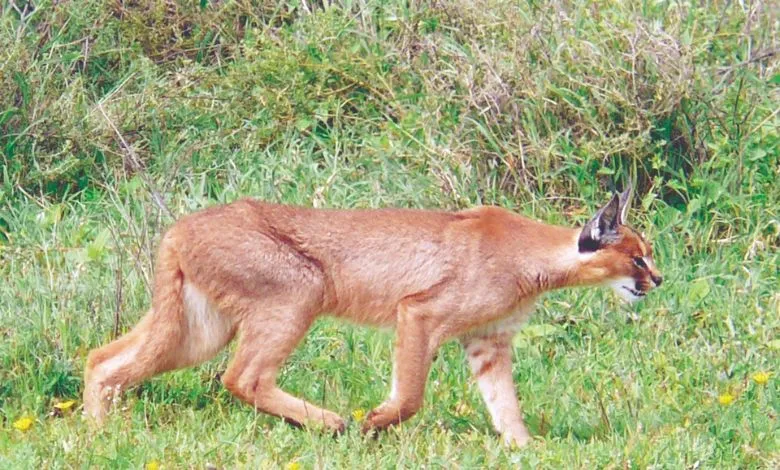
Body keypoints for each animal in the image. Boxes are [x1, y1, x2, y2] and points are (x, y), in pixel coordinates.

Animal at [84, 185, 660, 446]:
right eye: (637, 257)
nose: (657, 280)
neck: (539, 259)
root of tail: (179, 227)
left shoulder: (488, 342)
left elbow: (506, 405)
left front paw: (523, 450)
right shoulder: (420, 312)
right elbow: (410, 395)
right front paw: (375, 422)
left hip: (201, 328)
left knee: (102, 358)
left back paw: (97, 435)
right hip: (301, 290)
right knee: (242, 377)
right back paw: (330, 422)